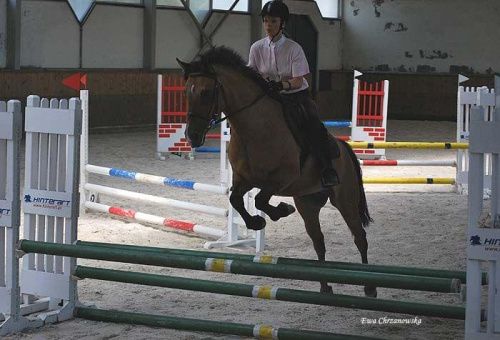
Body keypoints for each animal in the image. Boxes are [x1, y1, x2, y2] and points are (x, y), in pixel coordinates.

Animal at [176, 45, 376, 298]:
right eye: (186, 92)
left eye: (204, 92)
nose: (191, 136)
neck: (255, 128)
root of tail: (344, 147)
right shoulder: (243, 179)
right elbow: (236, 200)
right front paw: (258, 222)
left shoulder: (281, 179)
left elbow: (260, 200)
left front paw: (279, 210)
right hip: (309, 204)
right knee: (318, 241)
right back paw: (324, 286)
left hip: (346, 200)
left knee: (360, 237)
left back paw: (370, 287)